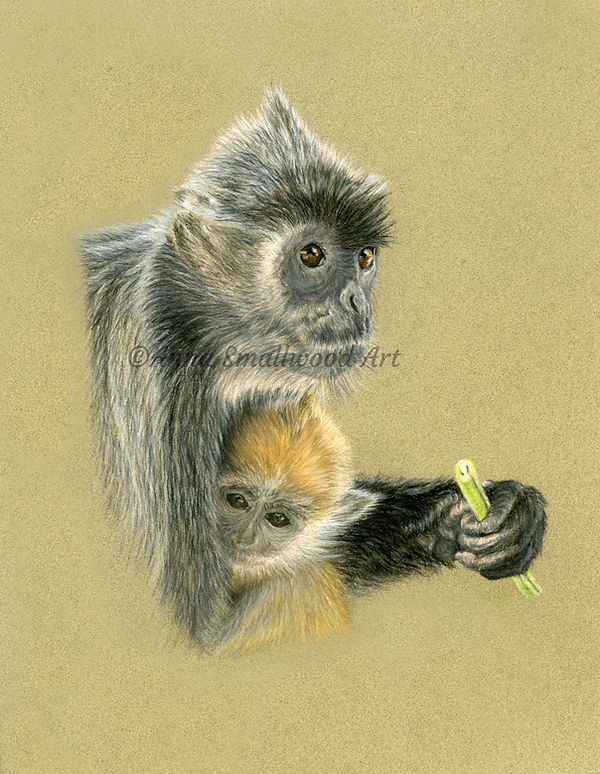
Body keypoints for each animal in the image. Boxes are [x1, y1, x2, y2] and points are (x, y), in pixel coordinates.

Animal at [81, 87, 547, 653]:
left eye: (364, 258)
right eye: (311, 255)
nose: (355, 301)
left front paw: (485, 518)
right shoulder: (152, 390)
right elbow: (203, 626)